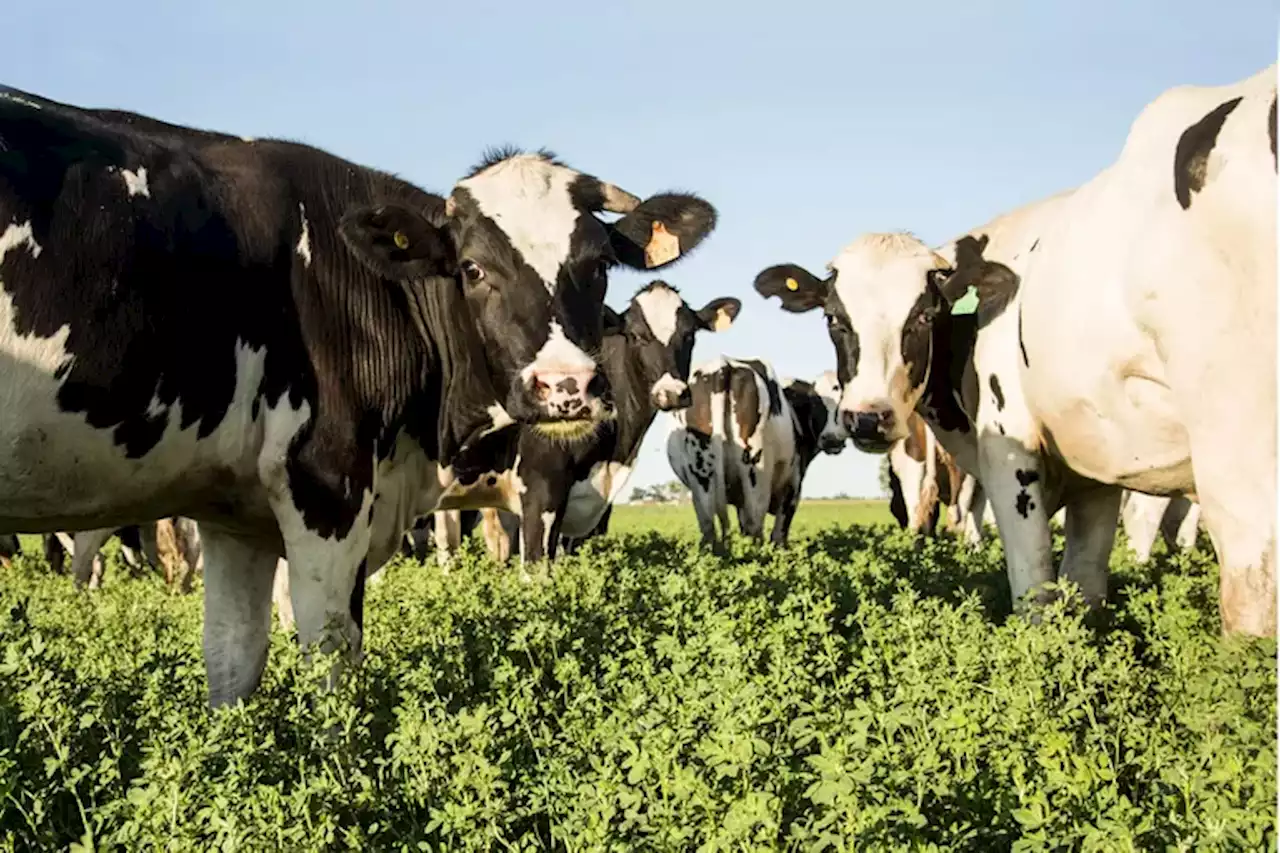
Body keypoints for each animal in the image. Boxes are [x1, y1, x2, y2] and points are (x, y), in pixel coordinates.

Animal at [665, 356, 844, 545]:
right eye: (816, 404)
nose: (832, 439)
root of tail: (722, 365)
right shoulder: (793, 484)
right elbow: (779, 534)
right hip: (756, 474)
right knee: (755, 525)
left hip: (701, 476)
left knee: (708, 526)